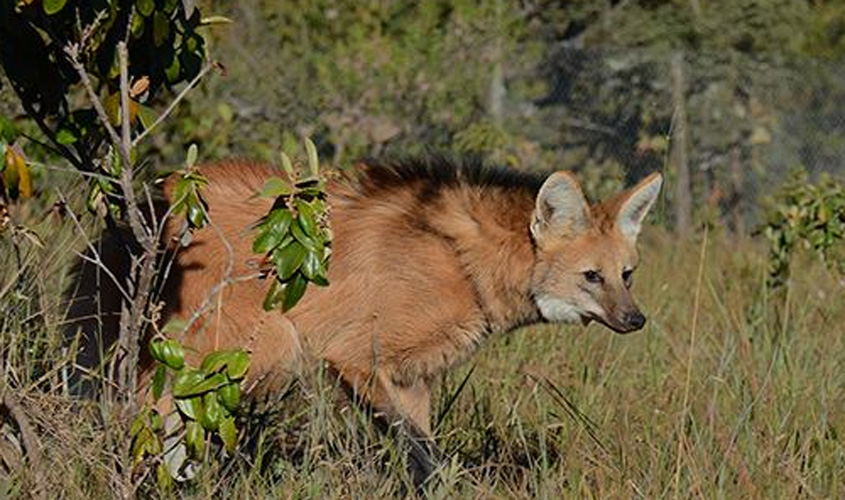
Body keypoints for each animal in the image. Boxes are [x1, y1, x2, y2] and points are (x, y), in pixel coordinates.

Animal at [67, 156, 660, 472]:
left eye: (627, 275)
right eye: (592, 277)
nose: (636, 321)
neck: (465, 264)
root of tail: (144, 206)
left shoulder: (413, 377)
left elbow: (421, 458)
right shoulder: (355, 358)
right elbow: (423, 453)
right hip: (256, 346)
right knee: (148, 419)